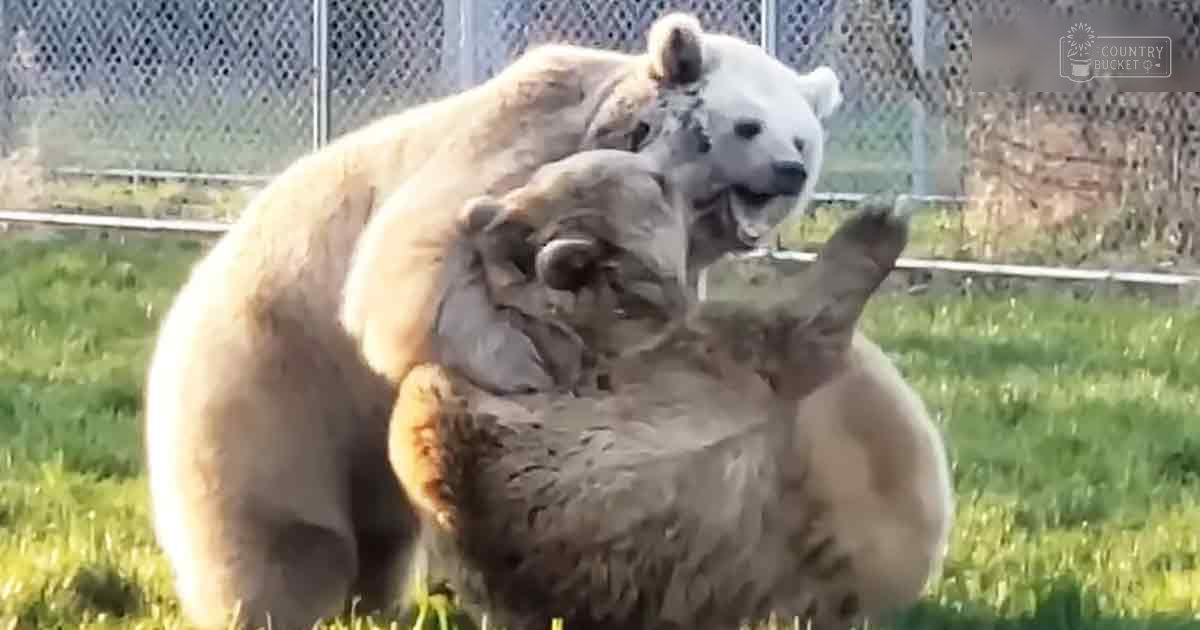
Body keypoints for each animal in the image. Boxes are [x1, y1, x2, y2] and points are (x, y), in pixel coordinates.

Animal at [142, 11, 845, 630]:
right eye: (749, 125)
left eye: (803, 137)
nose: (789, 170)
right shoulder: (529, 148)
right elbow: (418, 260)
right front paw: (531, 371)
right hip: (267, 380)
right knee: (280, 531)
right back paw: (275, 604)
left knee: (381, 532)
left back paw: (376, 599)